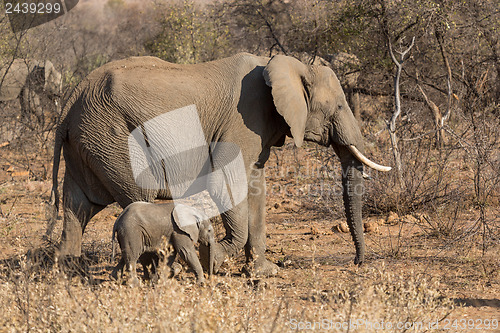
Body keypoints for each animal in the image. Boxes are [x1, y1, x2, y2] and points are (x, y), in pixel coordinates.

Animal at [47, 52, 390, 274]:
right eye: (340, 106)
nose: (357, 263)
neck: (287, 64)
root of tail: (69, 103)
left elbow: (256, 189)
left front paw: (264, 273)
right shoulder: (243, 120)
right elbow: (226, 181)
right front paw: (215, 260)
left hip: (90, 142)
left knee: (78, 207)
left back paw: (66, 276)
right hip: (114, 139)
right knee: (138, 197)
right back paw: (159, 272)